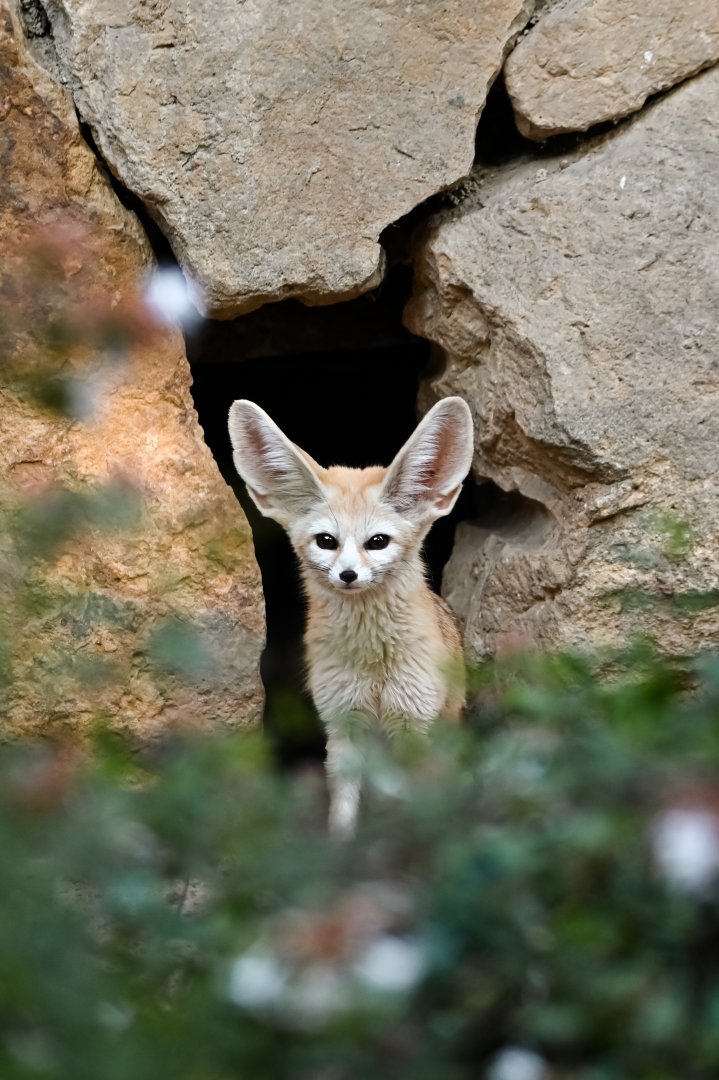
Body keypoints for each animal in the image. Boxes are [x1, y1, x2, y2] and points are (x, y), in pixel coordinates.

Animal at [227, 396, 474, 834]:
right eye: (327, 541)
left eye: (377, 542)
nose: (347, 575)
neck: (372, 659)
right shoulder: (342, 721)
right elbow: (343, 808)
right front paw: (342, 843)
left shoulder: (414, 722)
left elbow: (416, 810)